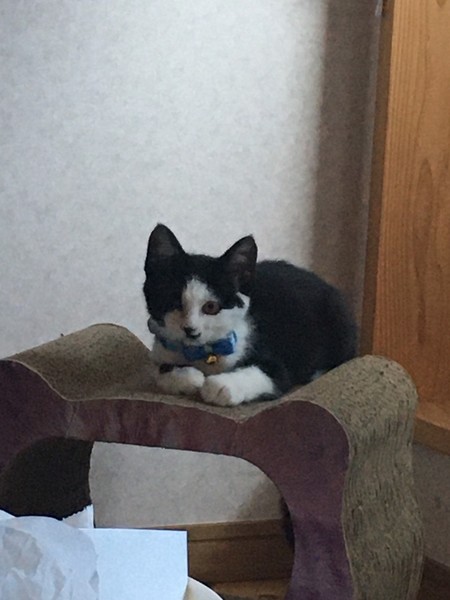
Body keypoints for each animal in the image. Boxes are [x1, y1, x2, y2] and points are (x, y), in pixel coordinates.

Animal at [143, 224, 357, 407]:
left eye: (211, 306)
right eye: (173, 301)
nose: (190, 329)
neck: (203, 352)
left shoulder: (277, 366)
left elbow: (266, 373)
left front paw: (220, 386)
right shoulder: (160, 349)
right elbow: (156, 368)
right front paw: (187, 377)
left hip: (339, 319)